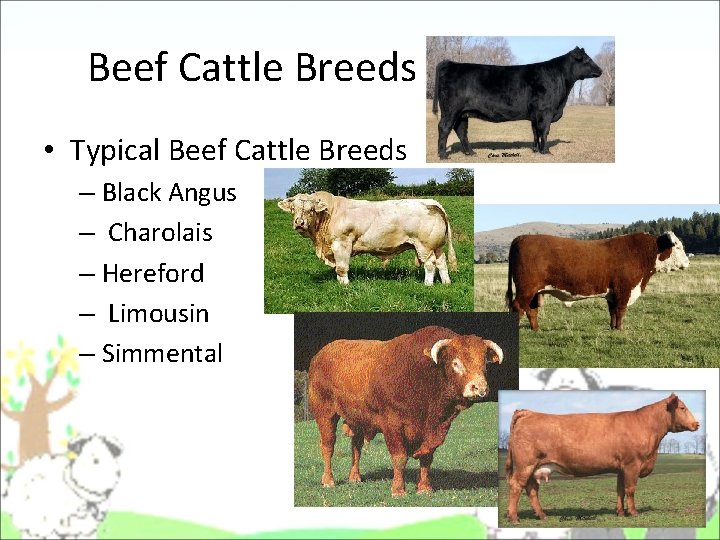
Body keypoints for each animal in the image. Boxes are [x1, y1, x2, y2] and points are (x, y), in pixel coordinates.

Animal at [278, 191, 457, 285]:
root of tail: (432, 203)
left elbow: (341, 268)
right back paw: (446, 282)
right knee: (441, 262)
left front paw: (344, 286)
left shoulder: (341, 243)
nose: (299, 223)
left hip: (424, 246)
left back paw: (428, 284)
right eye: (293, 209)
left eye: (311, 210)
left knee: (430, 264)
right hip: (436, 246)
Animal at [307, 325, 503, 496]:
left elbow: (427, 459)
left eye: (484, 364)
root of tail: (321, 354)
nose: (479, 388)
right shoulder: (392, 424)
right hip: (324, 412)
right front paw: (398, 490)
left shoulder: (433, 430)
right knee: (328, 445)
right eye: (456, 363)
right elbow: (400, 457)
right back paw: (328, 480)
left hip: (358, 418)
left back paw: (355, 477)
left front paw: (424, 488)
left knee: (356, 446)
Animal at [433, 47, 602, 158]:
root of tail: (450, 63)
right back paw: (443, 155)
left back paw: (470, 152)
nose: (600, 70)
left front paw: (536, 150)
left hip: (462, 113)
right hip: (451, 109)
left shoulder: (536, 114)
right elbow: (544, 131)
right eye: (587, 60)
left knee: (461, 130)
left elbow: (535, 132)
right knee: (444, 127)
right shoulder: (546, 111)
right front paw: (546, 152)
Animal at [504, 393, 700, 523]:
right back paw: (514, 517)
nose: (697, 423)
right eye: (682, 408)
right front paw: (633, 512)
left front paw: (620, 512)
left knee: (531, 489)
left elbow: (620, 490)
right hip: (525, 465)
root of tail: (528, 412)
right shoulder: (632, 464)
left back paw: (542, 515)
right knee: (516, 486)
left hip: (534, 467)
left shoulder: (621, 467)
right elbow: (630, 489)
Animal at [505, 231, 689, 330]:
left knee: (531, 310)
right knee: (518, 307)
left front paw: (613, 328)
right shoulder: (624, 290)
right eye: (679, 247)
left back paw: (537, 330)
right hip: (526, 289)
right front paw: (620, 330)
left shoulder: (612, 293)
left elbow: (612, 311)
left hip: (535, 291)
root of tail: (522, 237)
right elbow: (620, 311)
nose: (687, 263)